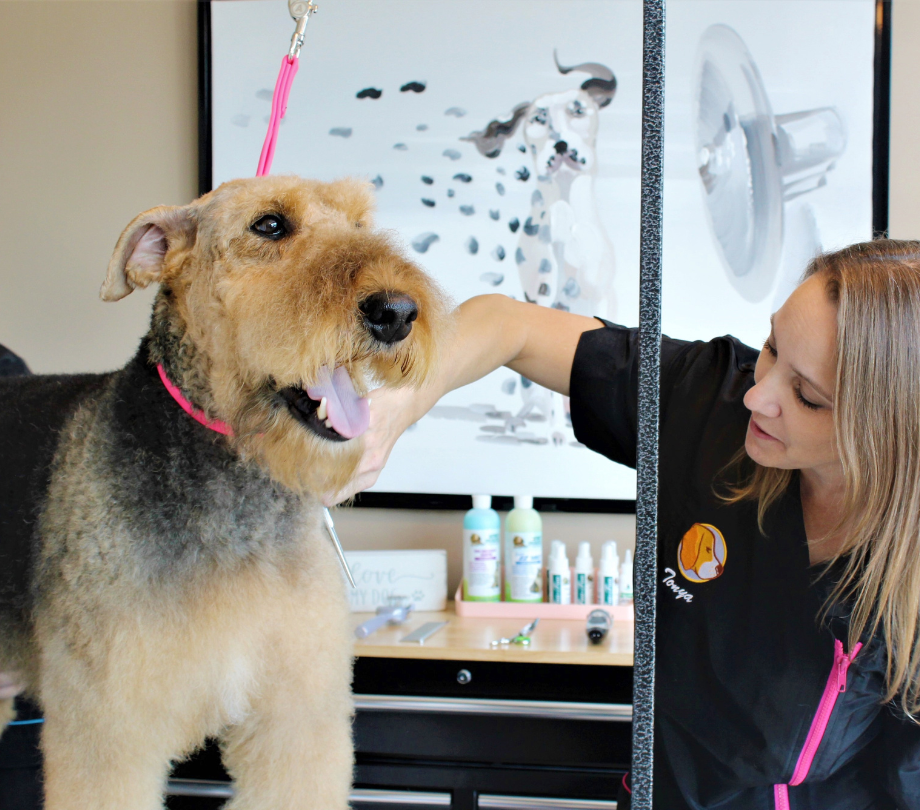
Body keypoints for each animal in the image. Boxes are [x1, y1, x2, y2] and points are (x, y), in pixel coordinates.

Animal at [460, 52, 620, 442]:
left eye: (579, 108)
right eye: (537, 119)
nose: (561, 147)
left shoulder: (596, 291)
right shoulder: (540, 297)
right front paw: (555, 433)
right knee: (534, 399)